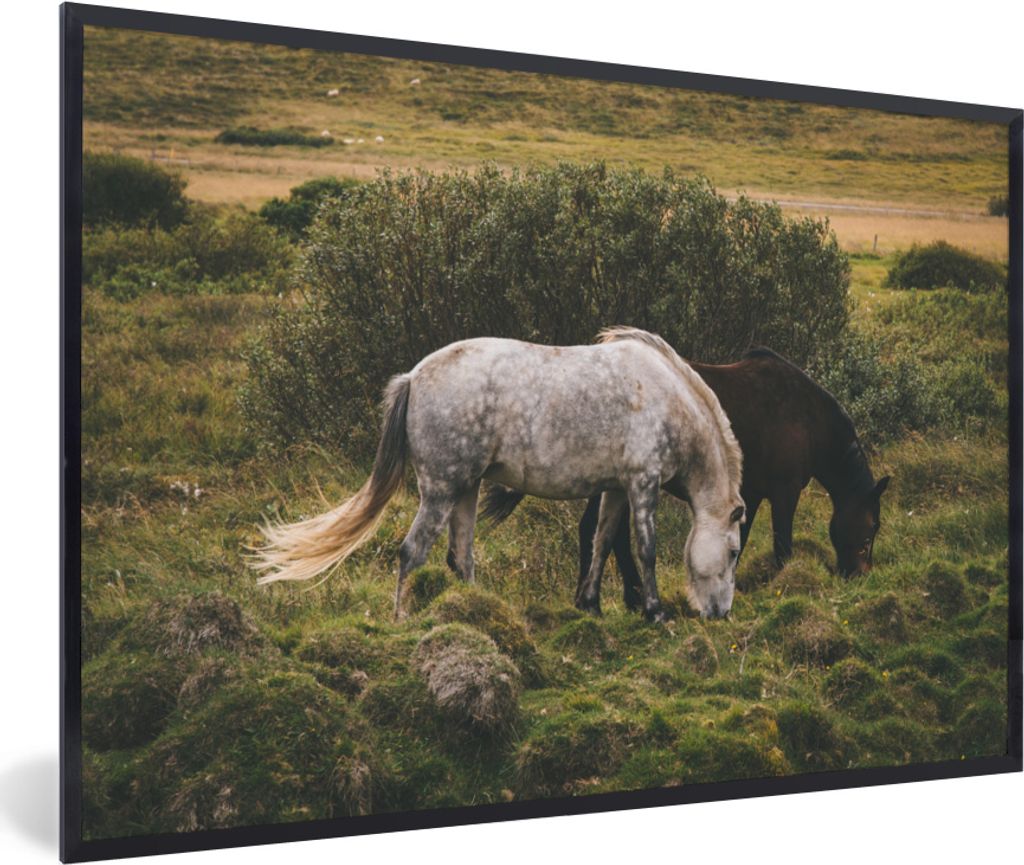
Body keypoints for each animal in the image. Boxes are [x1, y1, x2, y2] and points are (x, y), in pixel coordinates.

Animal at [253, 327, 746, 622]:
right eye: (734, 551)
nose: (720, 612)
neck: (668, 399)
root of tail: (413, 376)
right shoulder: (643, 484)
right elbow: (646, 549)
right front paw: (654, 611)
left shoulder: (619, 488)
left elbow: (603, 541)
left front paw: (590, 604)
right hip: (441, 490)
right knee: (412, 552)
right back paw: (403, 619)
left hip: (466, 489)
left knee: (461, 557)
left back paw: (480, 615)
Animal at [482, 347, 889, 613]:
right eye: (871, 529)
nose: (860, 575)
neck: (807, 417)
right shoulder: (784, 493)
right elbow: (782, 545)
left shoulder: (750, 494)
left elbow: (739, 539)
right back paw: (620, 599)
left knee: (602, 533)